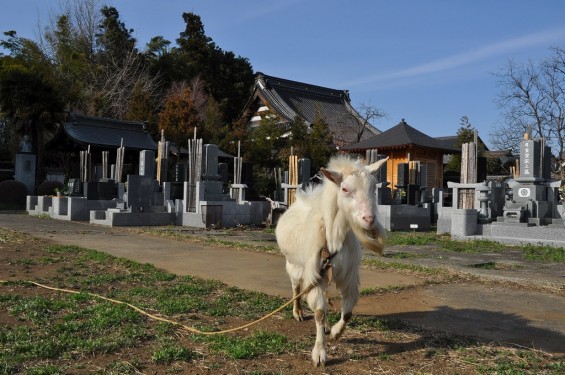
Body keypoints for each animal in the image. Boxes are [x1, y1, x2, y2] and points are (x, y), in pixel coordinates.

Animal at [274, 155, 388, 368]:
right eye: (345, 189)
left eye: (373, 188)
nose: (369, 219)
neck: (334, 239)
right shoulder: (314, 273)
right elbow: (319, 311)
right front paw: (319, 353)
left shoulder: (349, 274)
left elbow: (348, 311)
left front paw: (335, 332)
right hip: (293, 265)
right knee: (296, 288)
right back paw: (298, 312)